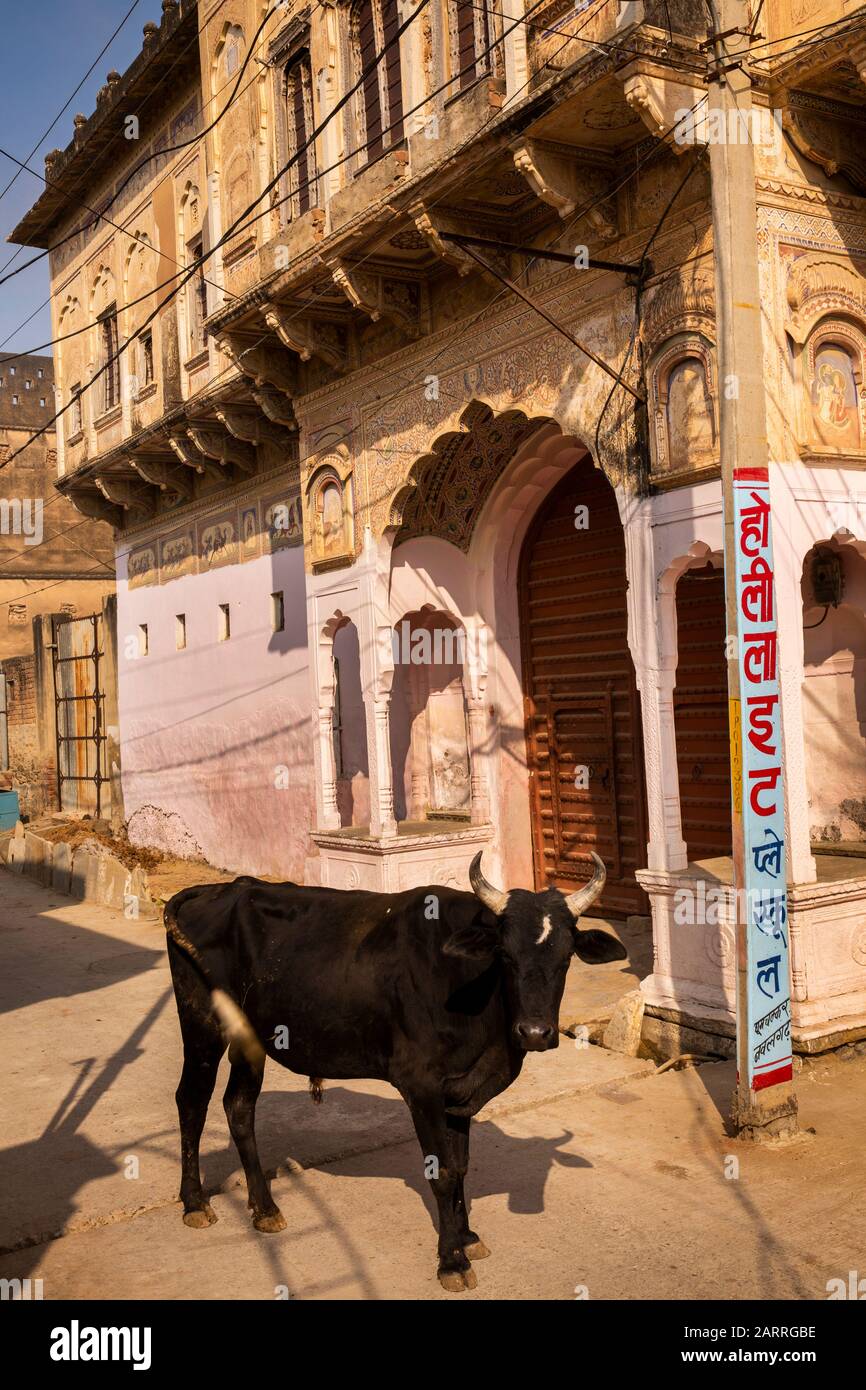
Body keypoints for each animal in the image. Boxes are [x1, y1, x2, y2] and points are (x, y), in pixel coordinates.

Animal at [164, 850, 626, 1292]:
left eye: (566, 958)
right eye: (506, 956)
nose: (534, 1032)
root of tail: (222, 888)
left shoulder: (459, 1092)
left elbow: (461, 1165)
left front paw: (467, 1237)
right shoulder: (421, 1086)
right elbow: (441, 1171)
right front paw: (451, 1261)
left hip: (251, 1039)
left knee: (239, 1106)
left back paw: (264, 1208)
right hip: (202, 1023)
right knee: (192, 1101)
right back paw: (195, 1203)